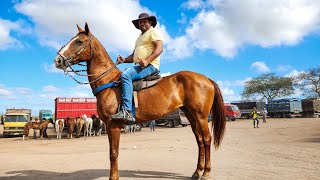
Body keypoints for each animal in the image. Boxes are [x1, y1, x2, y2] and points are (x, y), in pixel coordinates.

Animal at [53, 23, 226, 179]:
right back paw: (197, 172)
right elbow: (111, 153)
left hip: (201, 116)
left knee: (207, 139)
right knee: (200, 141)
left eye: (79, 41)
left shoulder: (113, 125)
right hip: (191, 115)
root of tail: (206, 79)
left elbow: (113, 154)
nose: (57, 60)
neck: (108, 82)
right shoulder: (108, 126)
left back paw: (206, 173)